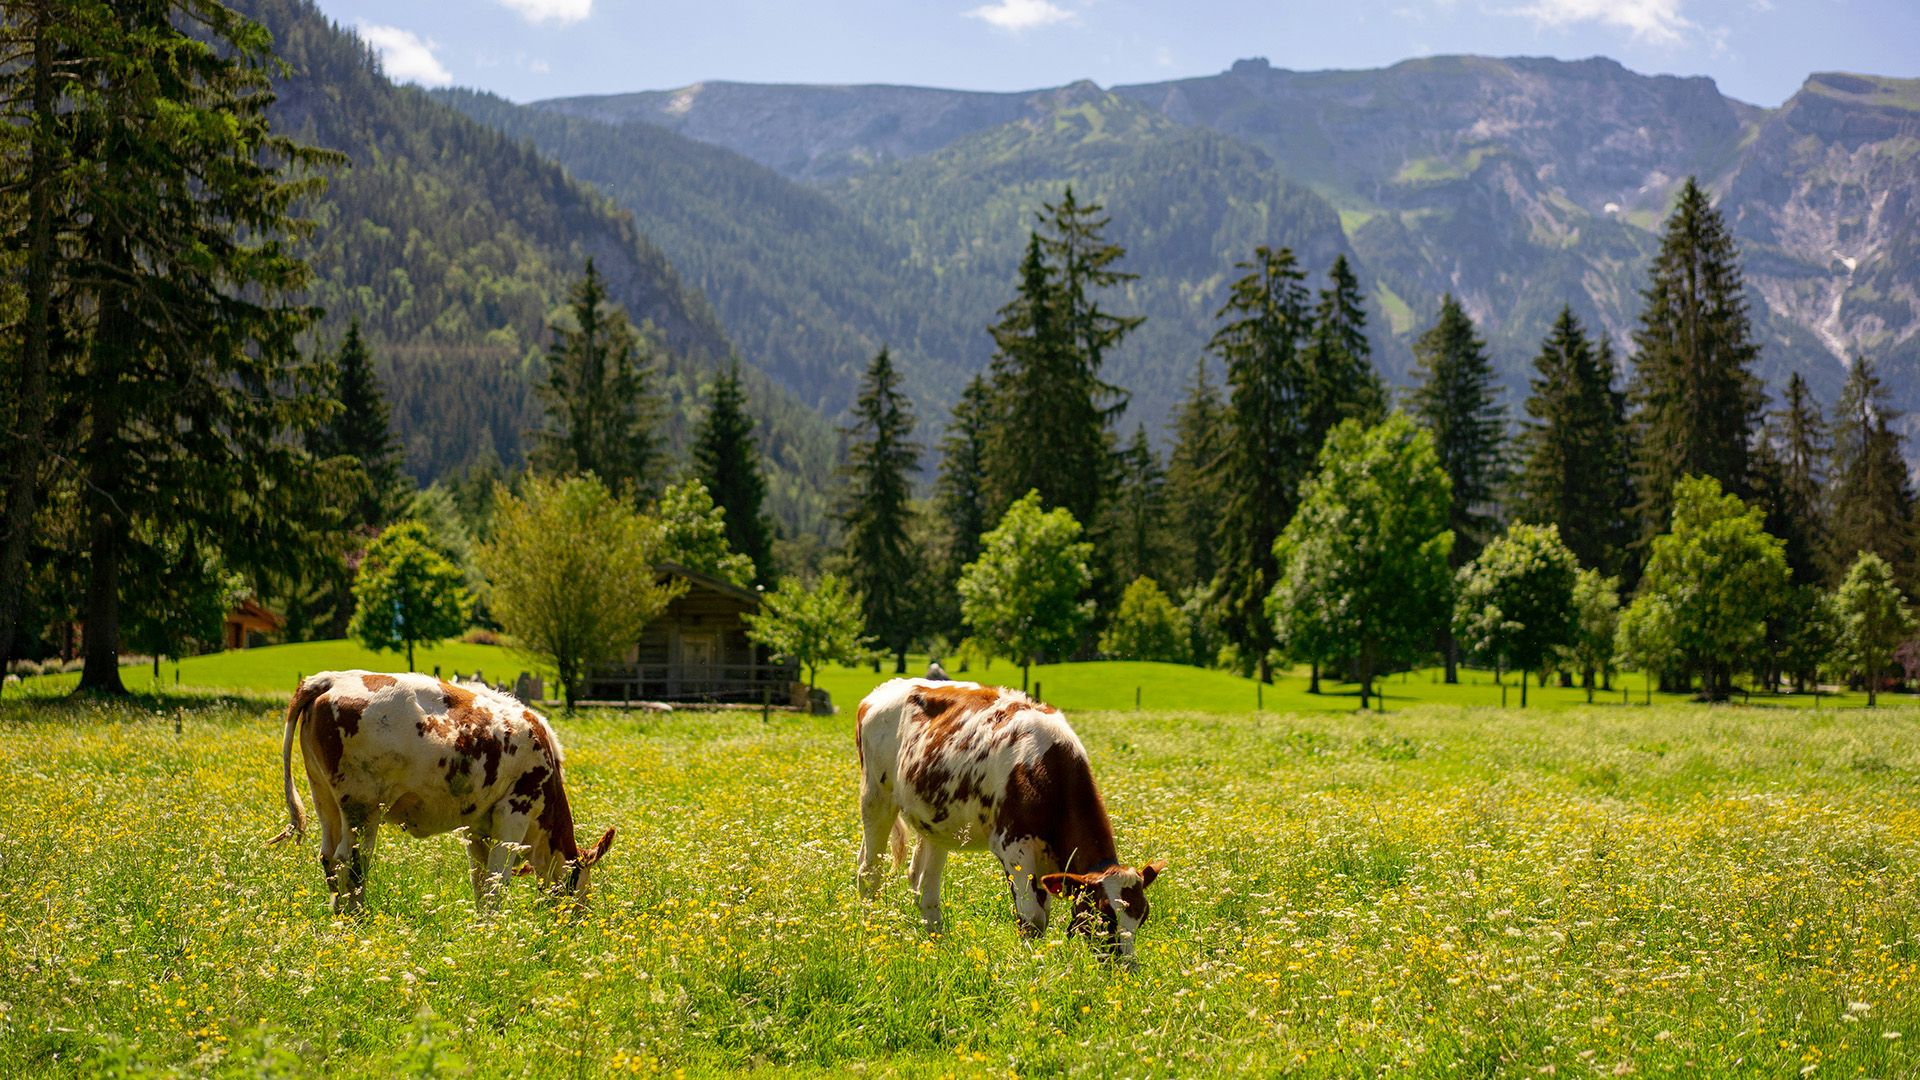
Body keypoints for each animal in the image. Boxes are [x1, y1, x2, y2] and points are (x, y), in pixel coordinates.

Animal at [267, 671, 614, 913]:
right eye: (580, 880)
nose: (579, 917)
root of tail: (329, 679)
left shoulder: (477, 827)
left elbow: (480, 880)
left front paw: (483, 924)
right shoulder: (514, 811)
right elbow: (497, 880)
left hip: (324, 799)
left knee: (329, 858)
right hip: (362, 807)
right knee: (351, 862)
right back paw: (357, 919)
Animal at [855, 678, 1166, 962]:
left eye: (1142, 916)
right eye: (1104, 914)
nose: (1127, 968)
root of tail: (884, 689)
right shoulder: (1014, 847)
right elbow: (1032, 918)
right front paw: (1030, 968)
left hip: (934, 819)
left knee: (924, 884)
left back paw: (938, 945)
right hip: (876, 797)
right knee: (869, 873)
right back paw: (870, 932)